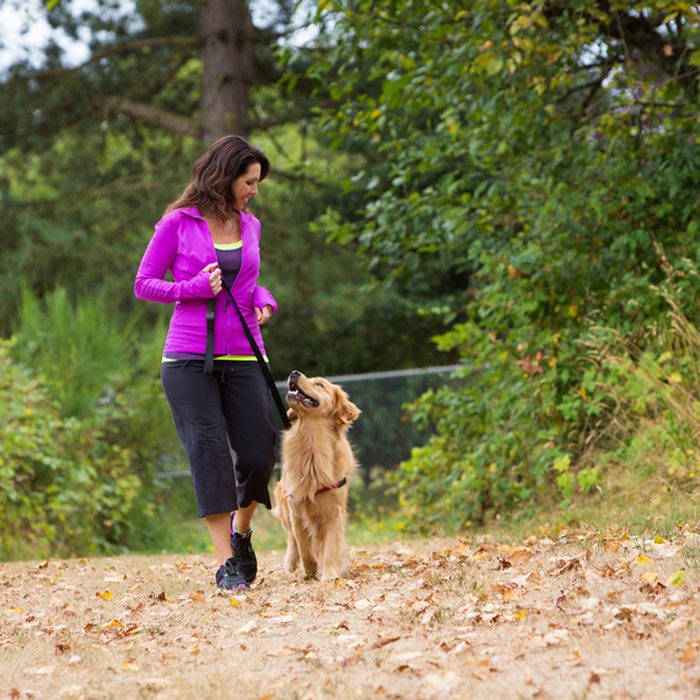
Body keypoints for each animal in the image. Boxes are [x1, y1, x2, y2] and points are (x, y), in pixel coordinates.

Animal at [272, 370, 360, 584]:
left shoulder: (333, 512)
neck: (312, 443)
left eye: (319, 384)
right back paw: (291, 562)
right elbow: (303, 546)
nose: (294, 372)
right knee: (291, 538)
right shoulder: (296, 508)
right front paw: (311, 569)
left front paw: (329, 574)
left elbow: (330, 546)